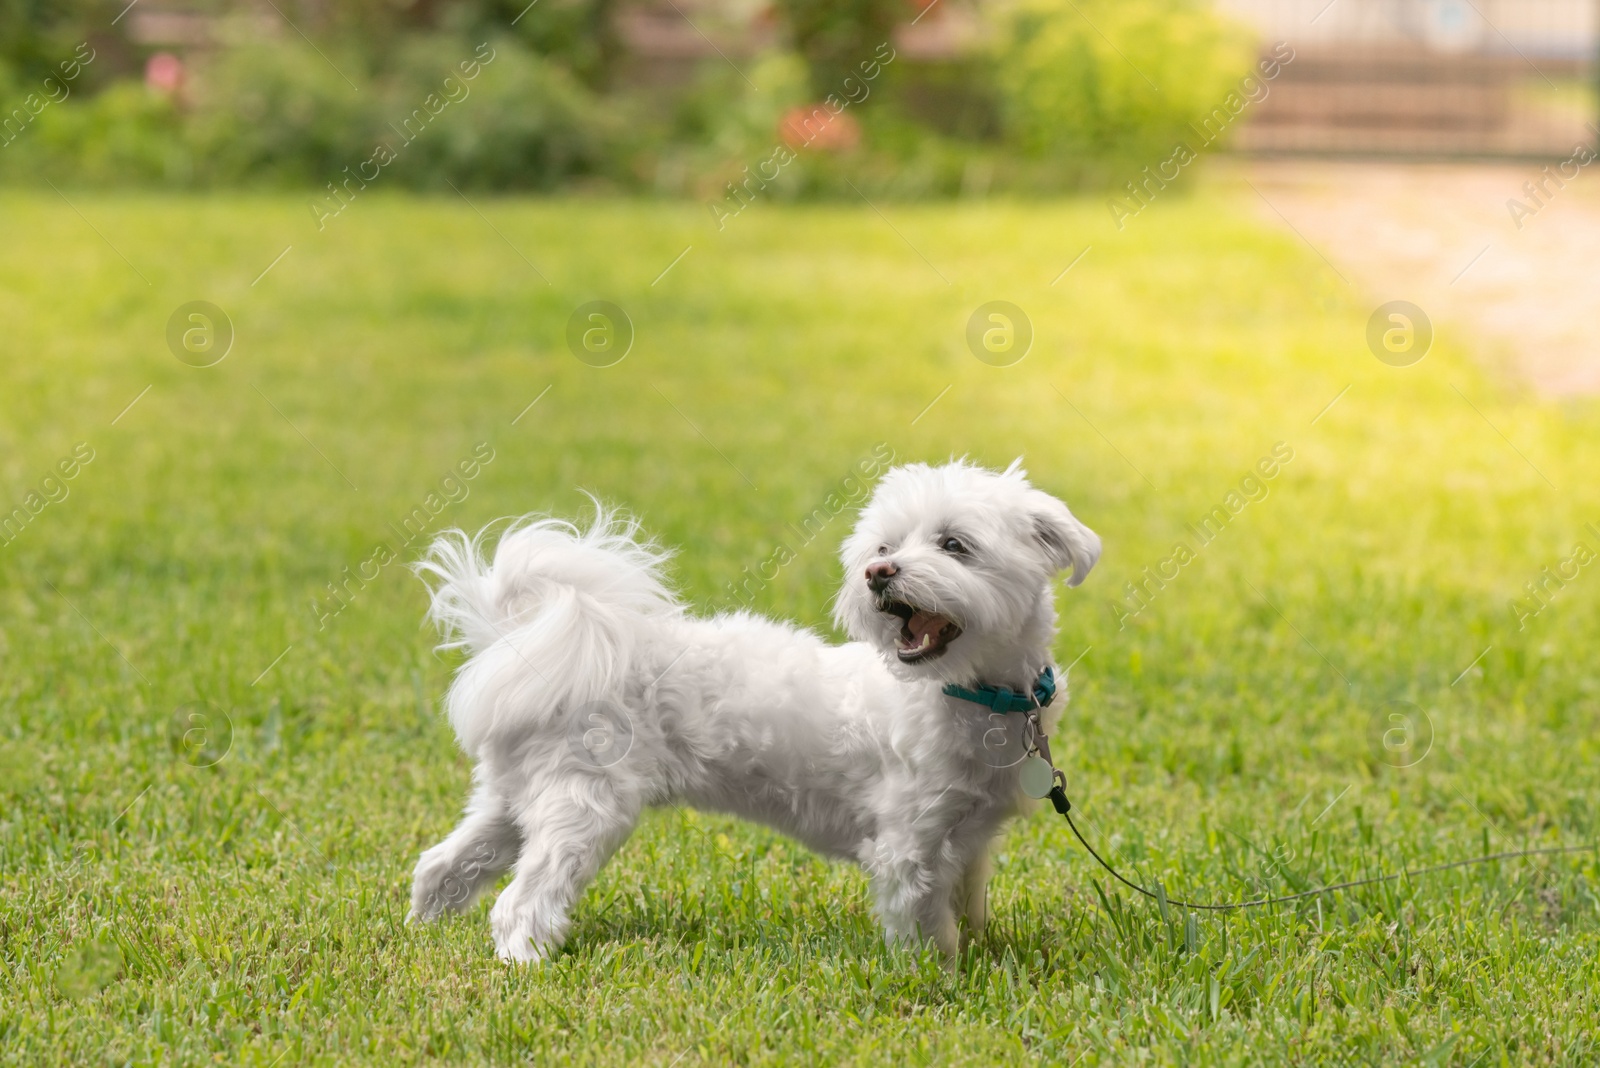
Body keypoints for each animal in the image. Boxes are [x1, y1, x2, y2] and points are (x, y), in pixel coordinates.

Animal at [409, 457, 1100, 959]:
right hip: (586, 803)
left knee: (444, 863)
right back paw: (525, 959)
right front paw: (943, 980)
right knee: (521, 900)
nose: (878, 573)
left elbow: (969, 905)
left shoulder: (967, 839)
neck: (968, 694)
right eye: (884, 546)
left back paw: (423, 925)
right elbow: (927, 929)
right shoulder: (910, 847)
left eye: (955, 545)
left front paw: (983, 955)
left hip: (516, 798)